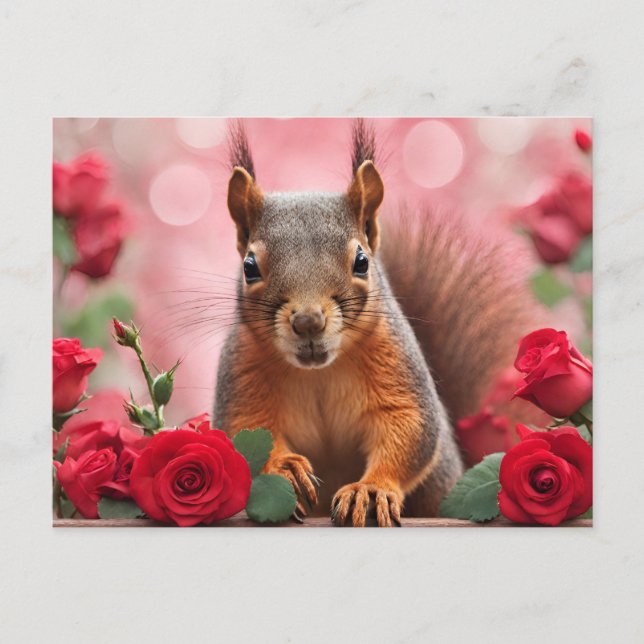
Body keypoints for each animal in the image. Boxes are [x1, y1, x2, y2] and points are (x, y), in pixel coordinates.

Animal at [214, 120, 539, 526]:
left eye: (362, 261)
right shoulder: (242, 366)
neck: (318, 372)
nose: (308, 321)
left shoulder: (395, 358)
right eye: (249, 267)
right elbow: (247, 432)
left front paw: (368, 490)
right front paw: (283, 467)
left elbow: (408, 427)